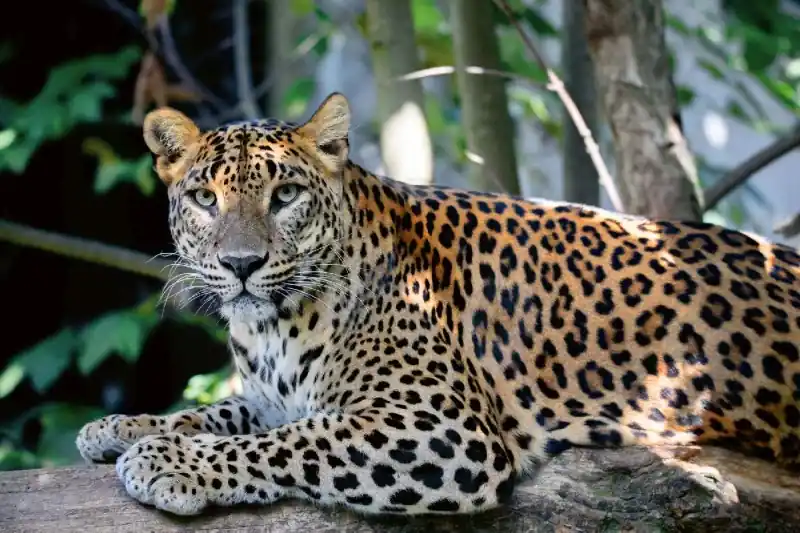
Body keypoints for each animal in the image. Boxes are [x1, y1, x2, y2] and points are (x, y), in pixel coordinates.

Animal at [76, 92, 800, 517]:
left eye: (285, 196)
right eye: (205, 199)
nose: (242, 265)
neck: (274, 326)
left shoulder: (443, 425)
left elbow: (291, 440)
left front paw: (168, 462)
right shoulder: (272, 395)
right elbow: (222, 413)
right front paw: (124, 427)